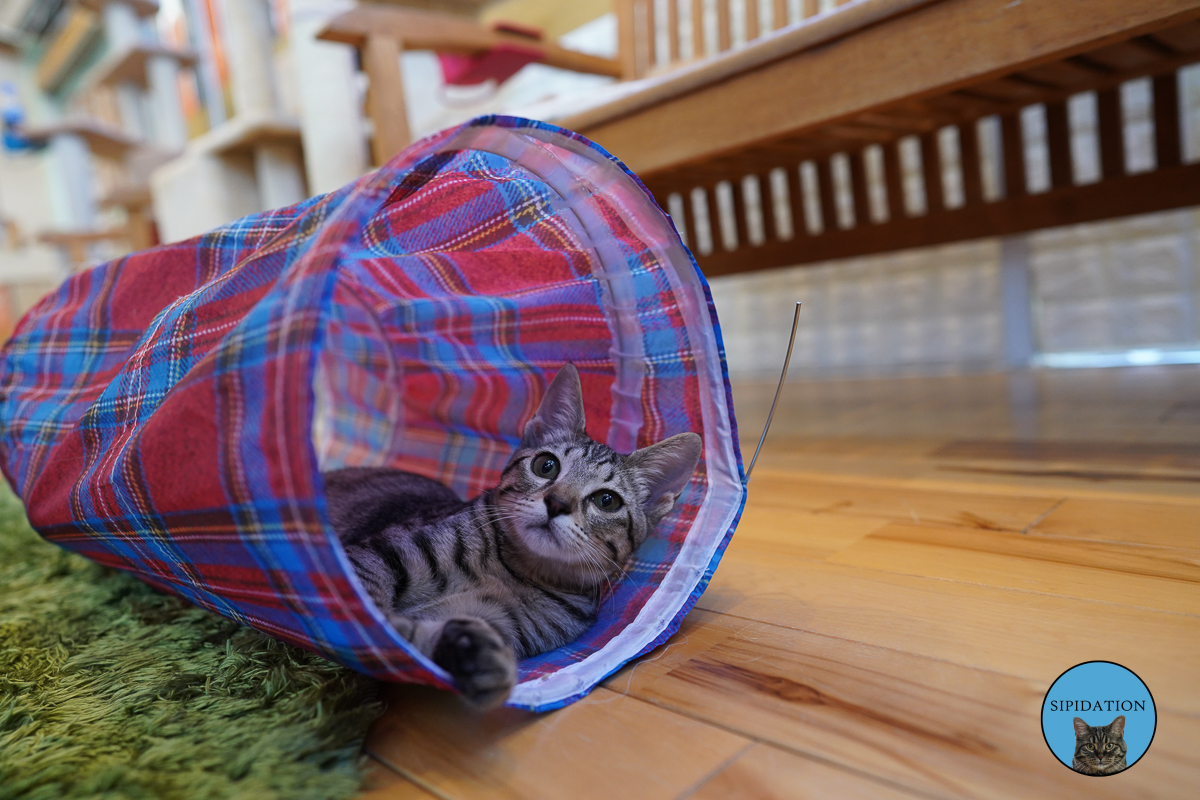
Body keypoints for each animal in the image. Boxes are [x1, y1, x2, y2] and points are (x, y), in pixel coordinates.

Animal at [324, 364, 705, 705]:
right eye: (546, 466)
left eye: (606, 500)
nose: (556, 503)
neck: (513, 573)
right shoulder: (375, 556)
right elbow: (368, 610)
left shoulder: (501, 624)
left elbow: (416, 641)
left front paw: (472, 657)